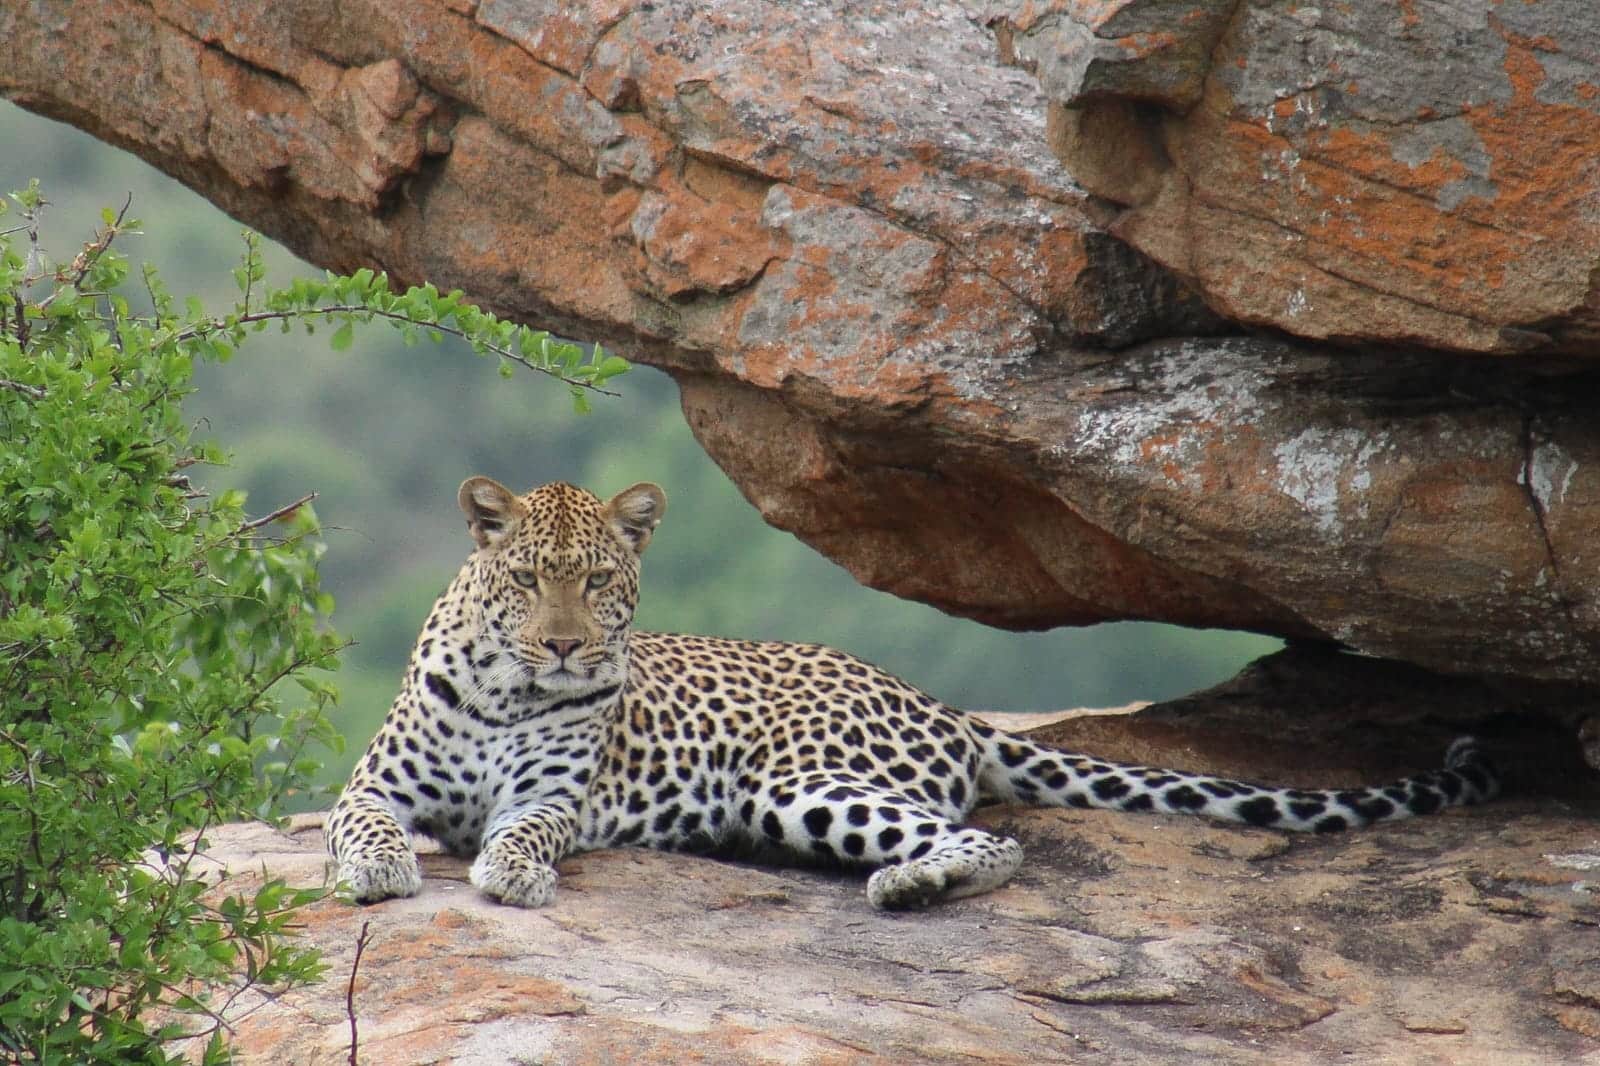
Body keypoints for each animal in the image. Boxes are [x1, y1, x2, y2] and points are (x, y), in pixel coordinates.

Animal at [325, 477, 1500, 911]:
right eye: (528, 580)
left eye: (601, 582)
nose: (567, 647)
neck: (509, 692)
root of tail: (942, 702)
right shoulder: (373, 782)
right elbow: (363, 821)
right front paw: (380, 871)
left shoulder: (554, 799)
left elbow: (525, 831)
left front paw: (510, 874)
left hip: (801, 783)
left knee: (991, 841)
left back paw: (911, 886)